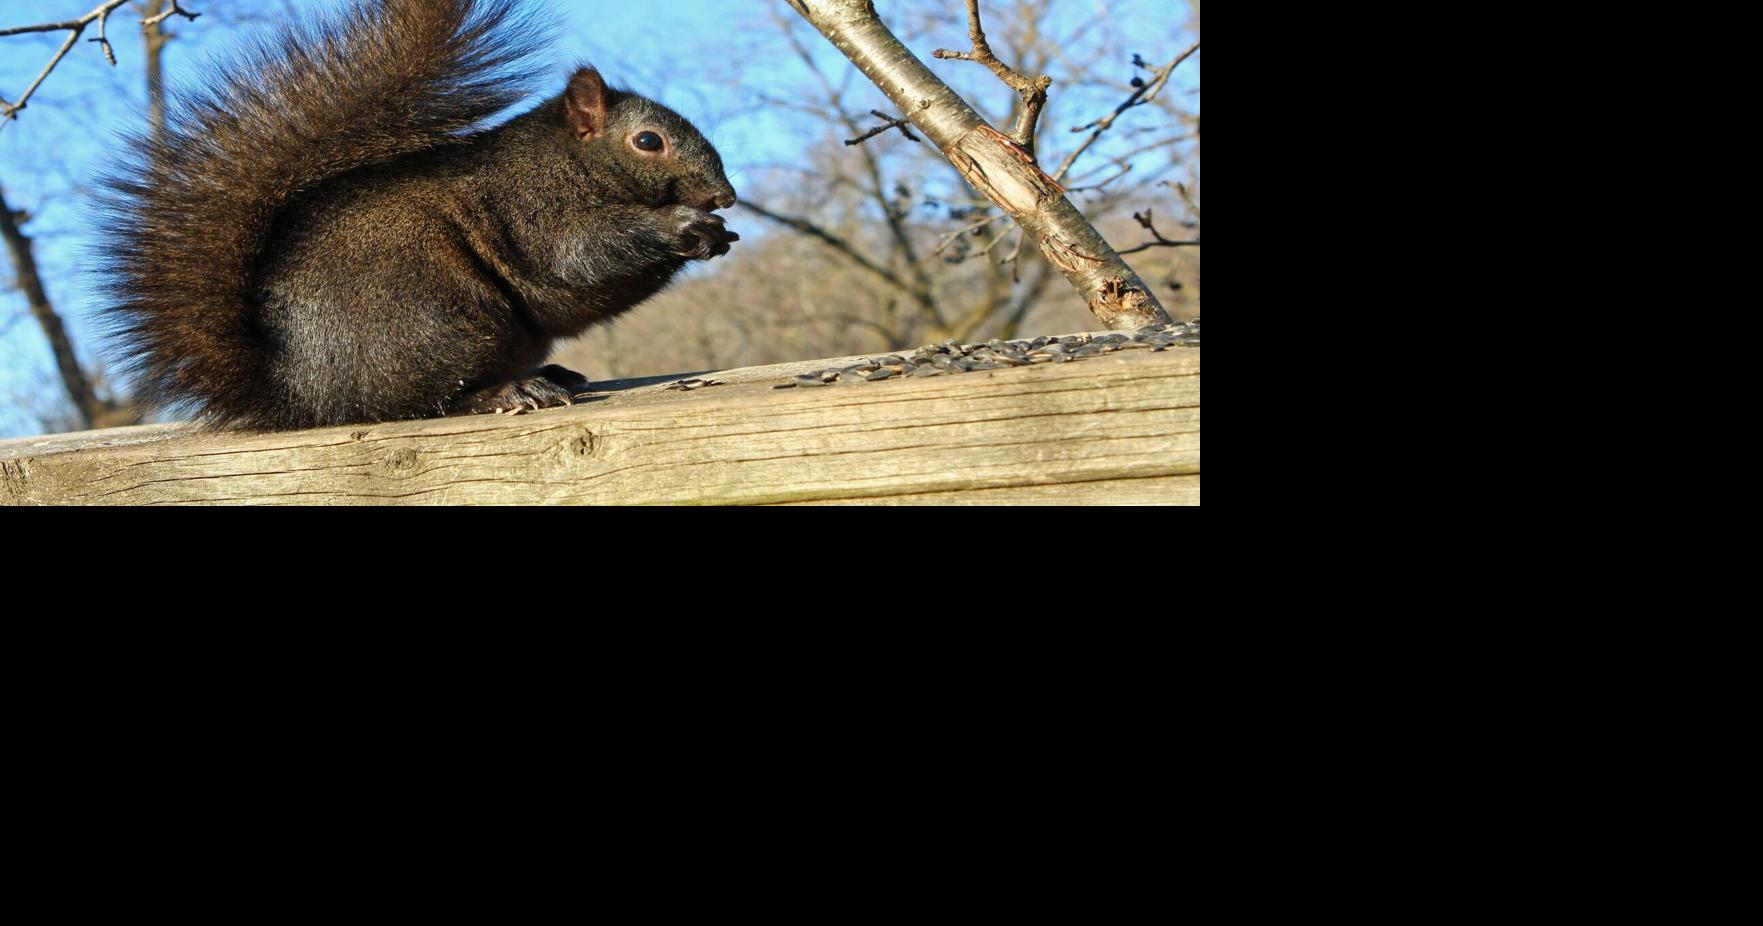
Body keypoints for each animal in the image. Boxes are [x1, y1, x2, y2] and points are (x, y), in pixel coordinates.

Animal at [96, 0, 738, 430]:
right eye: (649, 142)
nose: (725, 197)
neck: (571, 160)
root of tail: (302, 397)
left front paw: (717, 235)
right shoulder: (530, 208)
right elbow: (578, 258)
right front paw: (681, 225)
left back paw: (551, 377)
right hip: (435, 319)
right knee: (425, 403)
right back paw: (508, 393)